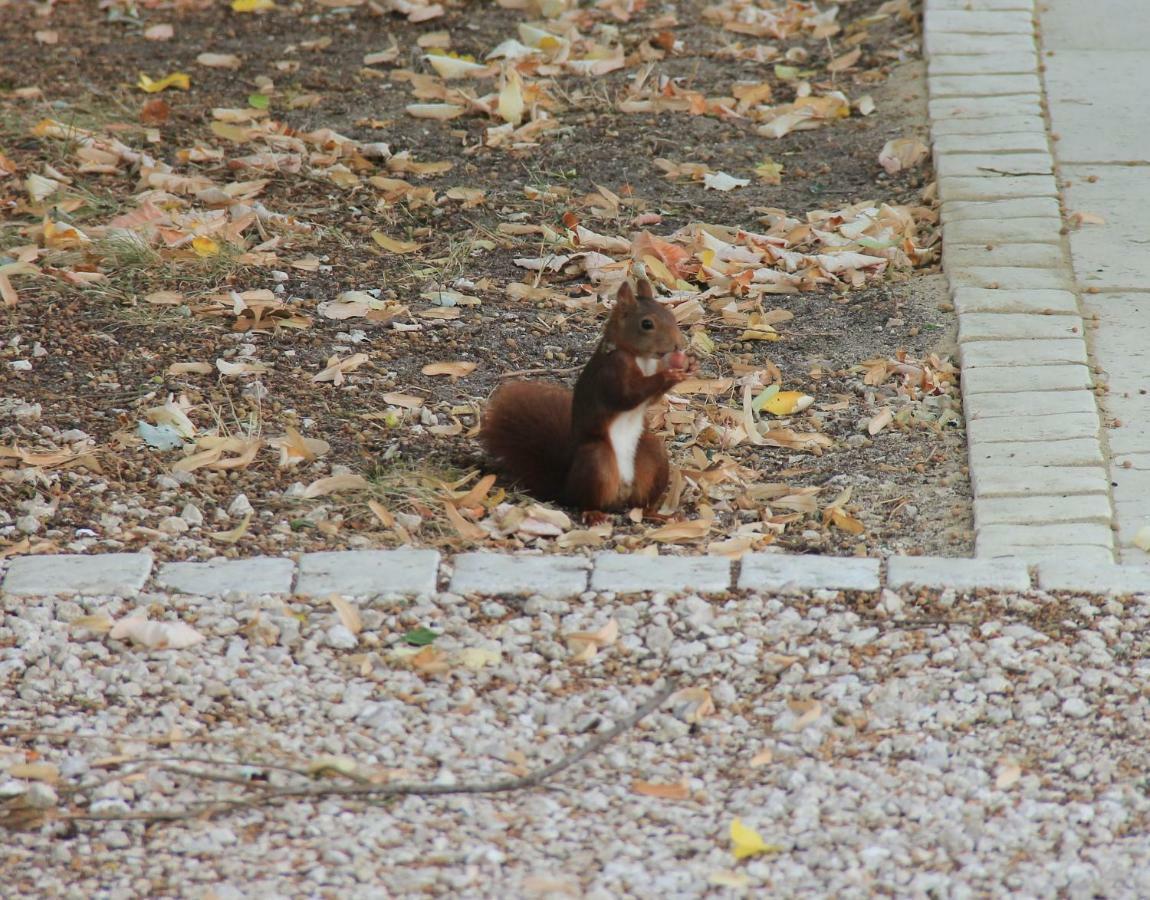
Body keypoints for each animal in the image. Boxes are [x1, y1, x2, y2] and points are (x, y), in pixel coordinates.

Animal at [480, 279, 694, 521]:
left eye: (670, 314)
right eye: (647, 324)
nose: (678, 345)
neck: (640, 358)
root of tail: (566, 487)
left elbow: (651, 400)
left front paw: (689, 366)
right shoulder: (611, 372)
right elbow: (626, 396)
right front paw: (668, 375)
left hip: (653, 455)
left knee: (641, 500)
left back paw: (654, 513)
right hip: (597, 460)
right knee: (587, 500)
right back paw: (594, 514)